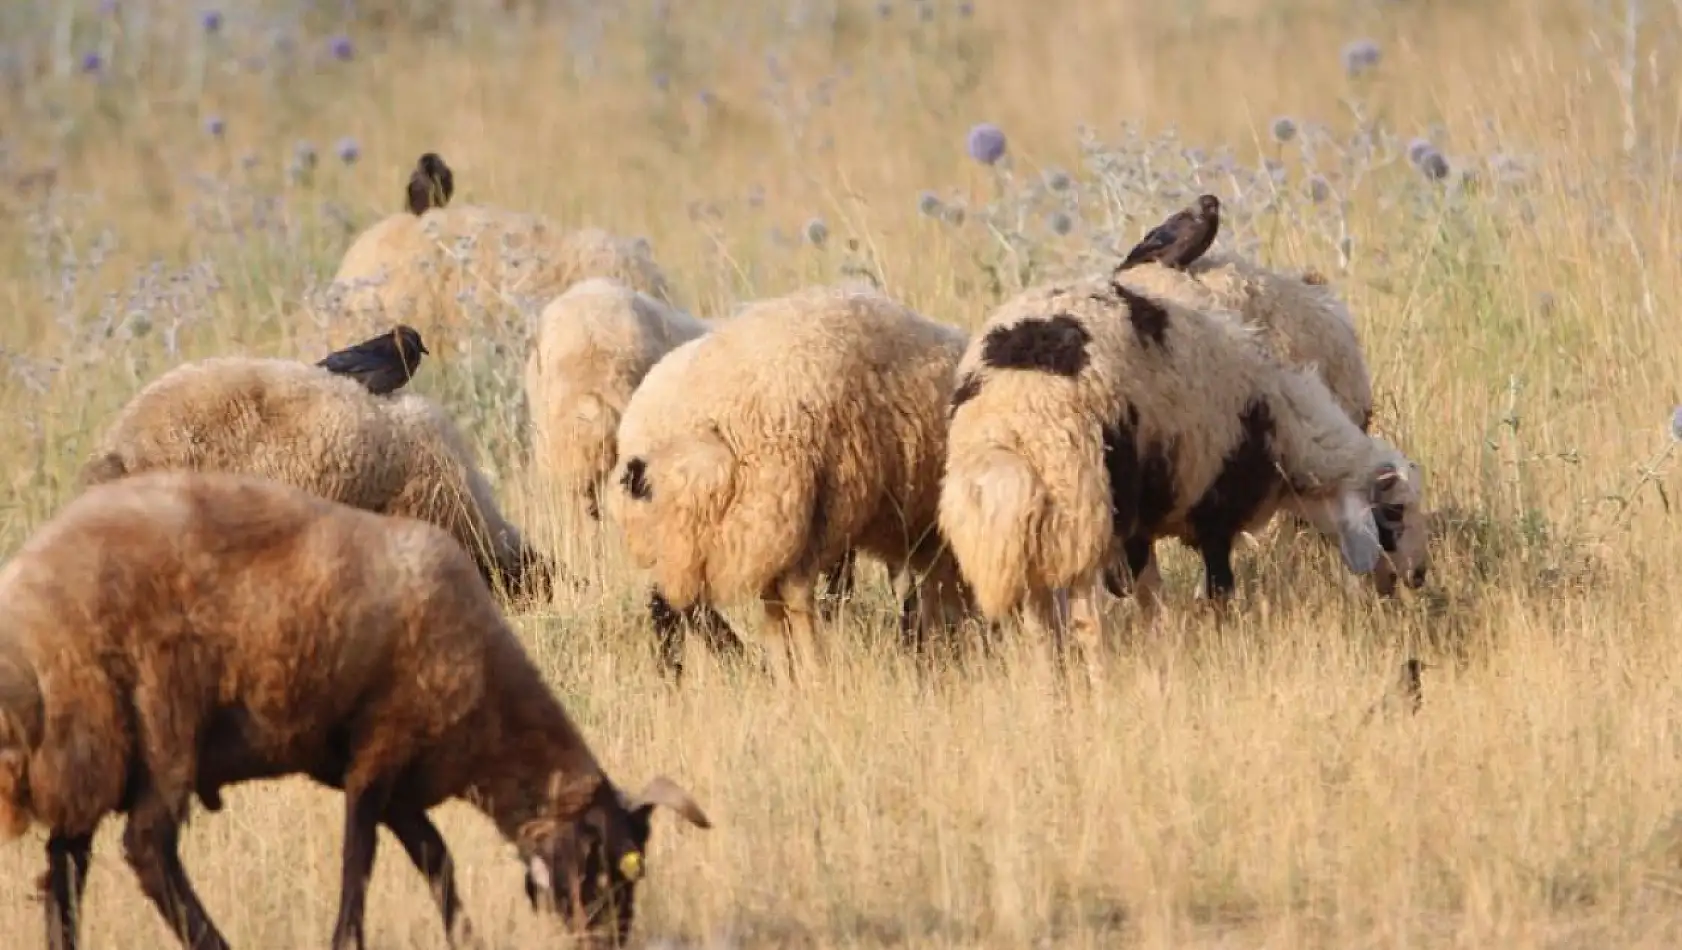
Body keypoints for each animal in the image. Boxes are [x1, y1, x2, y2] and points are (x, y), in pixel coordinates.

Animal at [0, 470, 709, 948]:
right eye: (616, 867)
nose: (607, 944)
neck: (493, 724)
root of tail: (32, 610)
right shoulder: (379, 750)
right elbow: (359, 863)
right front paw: (349, 940)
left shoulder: (404, 775)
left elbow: (437, 861)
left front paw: (465, 937)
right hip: (162, 718)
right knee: (147, 847)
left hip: (91, 740)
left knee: (66, 865)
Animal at [941, 270, 1426, 649]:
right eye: (1394, 511)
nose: (1419, 576)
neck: (1286, 424)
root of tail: (1010, 423)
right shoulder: (1213, 512)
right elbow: (1216, 592)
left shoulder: (1142, 528)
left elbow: (1150, 596)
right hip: (1083, 505)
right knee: (1085, 619)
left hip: (1035, 527)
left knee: (1039, 625)